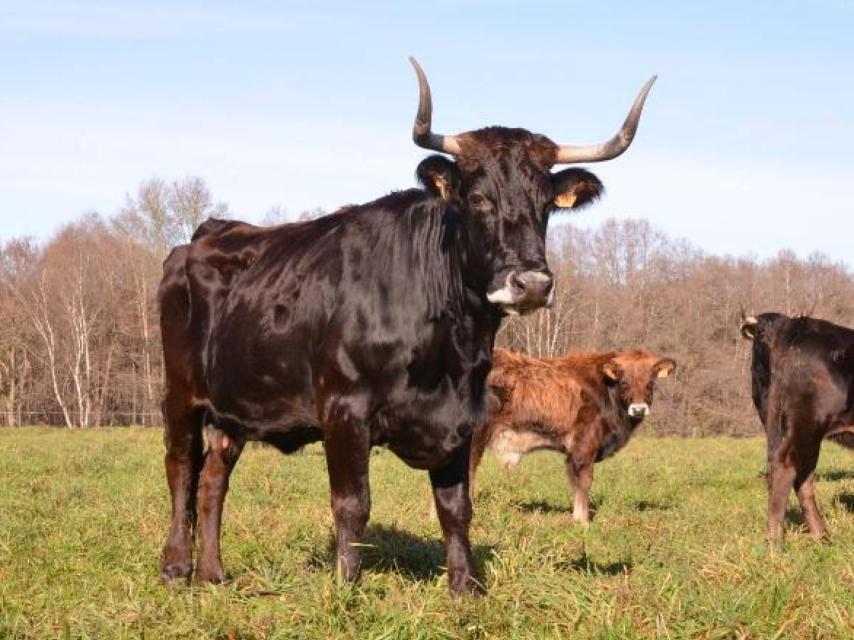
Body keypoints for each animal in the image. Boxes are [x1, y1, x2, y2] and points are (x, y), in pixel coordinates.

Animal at [468, 348, 676, 524]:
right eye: (624, 382)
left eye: (650, 383)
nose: (639, 409)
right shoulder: (584, 446)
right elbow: (584, 481)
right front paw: (582, 520)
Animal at [744, 312, 854, 544]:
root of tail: (798, 324)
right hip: (806, 425)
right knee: (786, 467)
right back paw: (776, 542)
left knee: (802, 477)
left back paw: (821, 537)